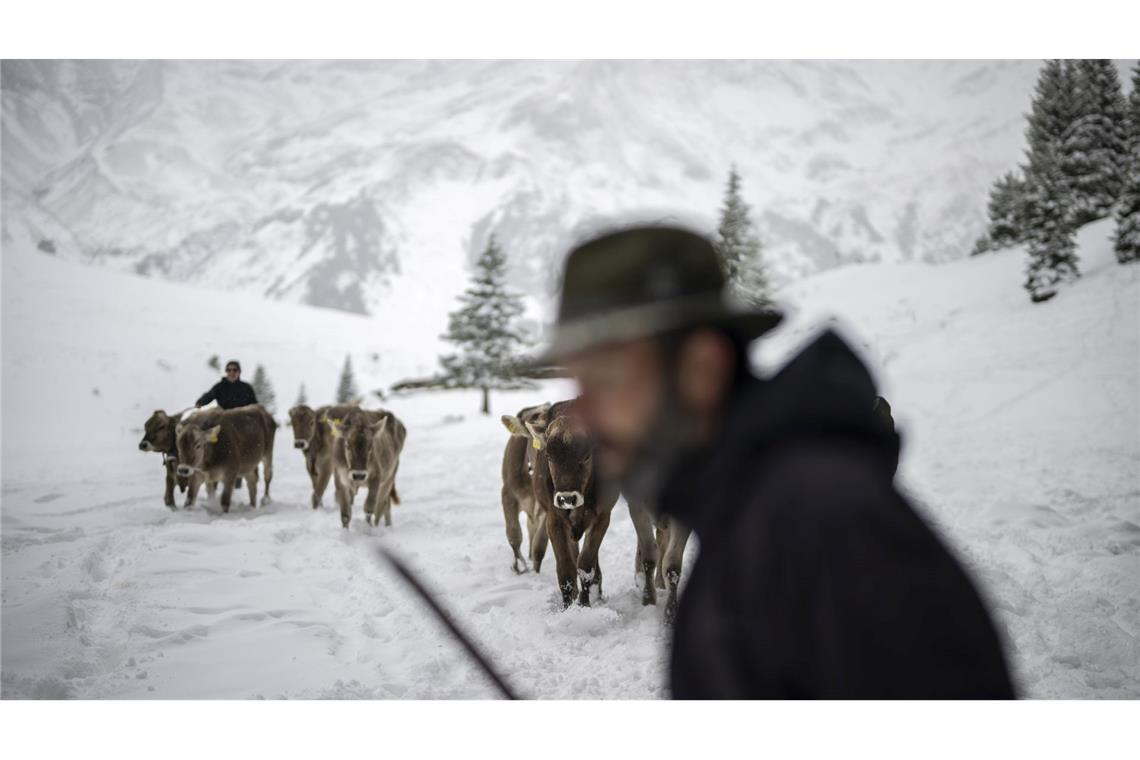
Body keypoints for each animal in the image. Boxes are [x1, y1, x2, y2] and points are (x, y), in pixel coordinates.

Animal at [526, 401, 620, 610]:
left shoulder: (602, 517)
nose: (567, 498)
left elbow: (585, 565)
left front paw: (584, 604)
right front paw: (567, 607)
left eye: (586, 456)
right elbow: (566, 569)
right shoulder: (554, 519)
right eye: (549, 456)